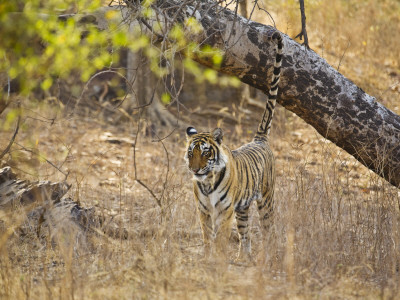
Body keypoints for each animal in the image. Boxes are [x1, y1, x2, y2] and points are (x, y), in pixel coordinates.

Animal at [184, 29, 282, 260]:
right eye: (191, 153)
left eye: (205, 153)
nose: (195, 170)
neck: (207, 182)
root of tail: (259, 140)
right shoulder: (203, 210)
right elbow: (207, 236)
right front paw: (207, 257)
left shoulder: (224, 211)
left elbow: (220, 238)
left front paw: (218, 260)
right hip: (243, 209)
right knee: (246, 235)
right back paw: (242, 259)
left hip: (266, 200)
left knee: (269, 231)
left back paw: (268, 258)